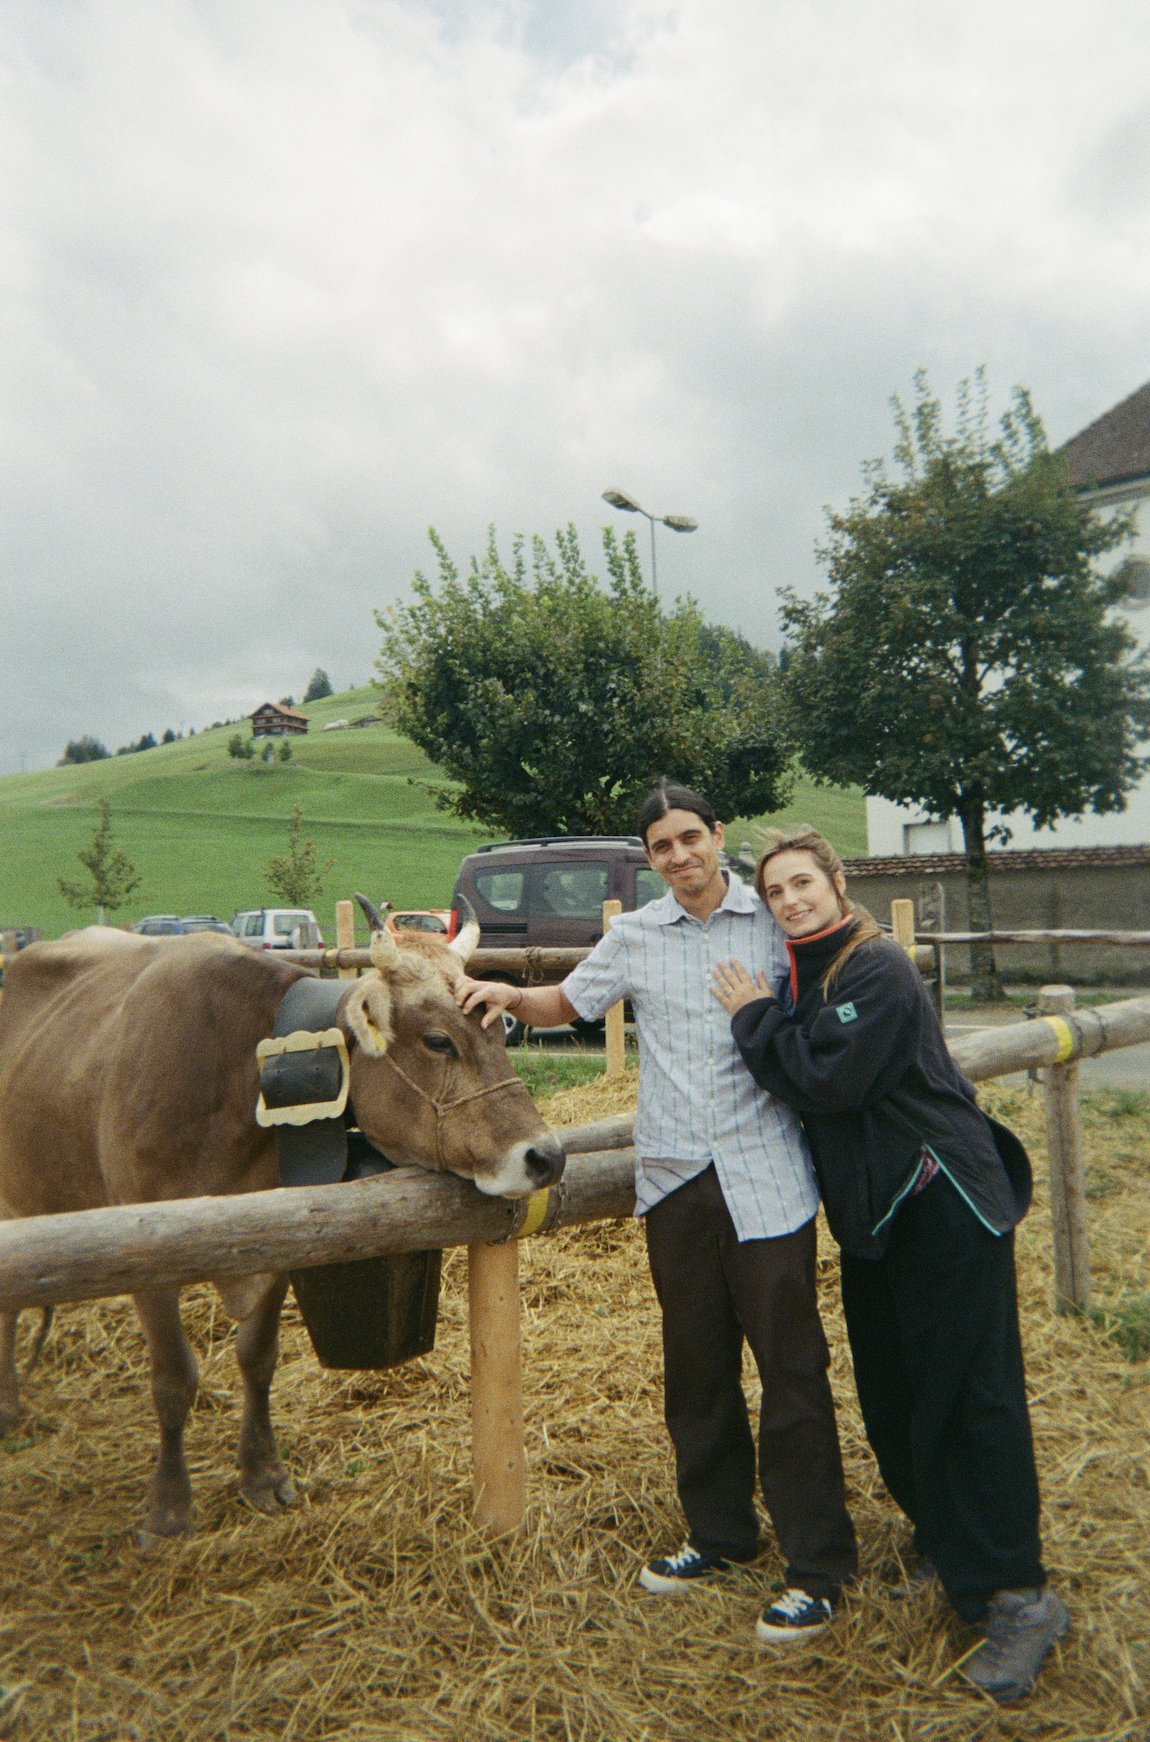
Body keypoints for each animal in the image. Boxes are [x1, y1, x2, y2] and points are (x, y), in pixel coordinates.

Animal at [0, 906, 564, 1544]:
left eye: (500, 1030)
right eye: (439, 1041)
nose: (546, 1156)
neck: (238, 1073)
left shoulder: (274, 1241)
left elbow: (258, 1359)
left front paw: (262, 1472)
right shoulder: (147, 1258)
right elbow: (173, 1380)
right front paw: (168, 1506)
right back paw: (9, 1405)